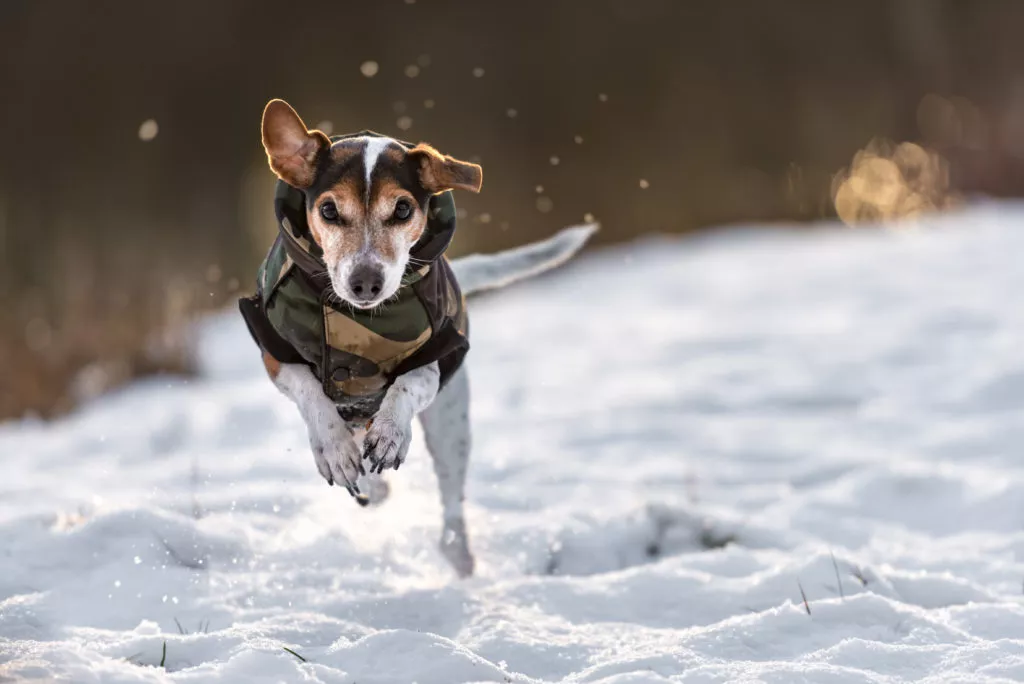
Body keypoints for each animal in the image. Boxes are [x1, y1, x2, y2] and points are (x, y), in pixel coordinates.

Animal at [238, 98, 593, 573]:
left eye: (403, 210)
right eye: (329, 211)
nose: (365, 283)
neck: (359, 319)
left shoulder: (440, 354)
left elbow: (408, 383)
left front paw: (390, 432)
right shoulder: (275, 353)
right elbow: (311, 393)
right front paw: (334, 448)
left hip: (450, 424)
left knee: (450, 503)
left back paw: (458, 556)